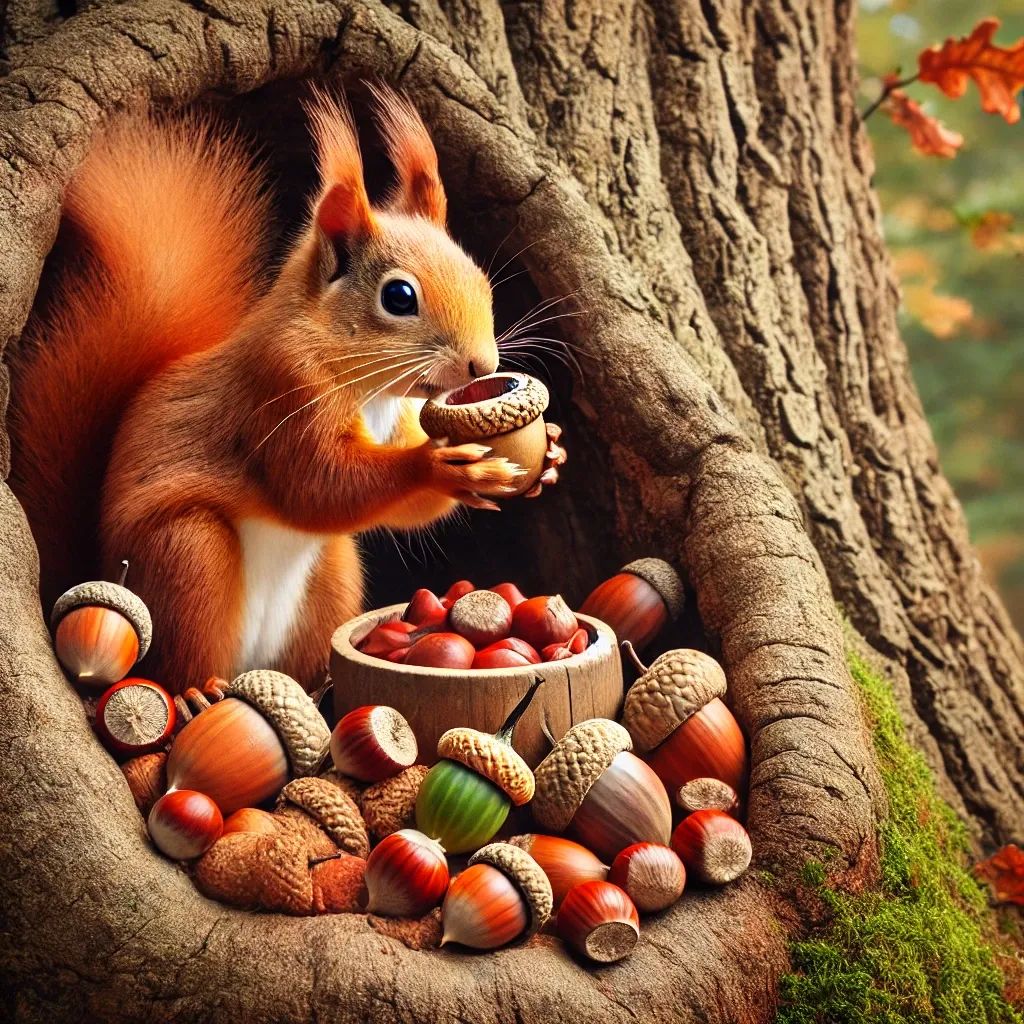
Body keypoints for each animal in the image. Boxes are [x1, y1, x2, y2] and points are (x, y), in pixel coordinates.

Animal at [8, 85, 565, 693]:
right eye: (399, 297)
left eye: (480, 278)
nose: (481, 364)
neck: (367, 387)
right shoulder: (278, 389)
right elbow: (317, 484)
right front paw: (437, 466)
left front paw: (550, 452)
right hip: (188, 556)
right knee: (181, 658)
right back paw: (201, 695)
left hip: (333, 574)